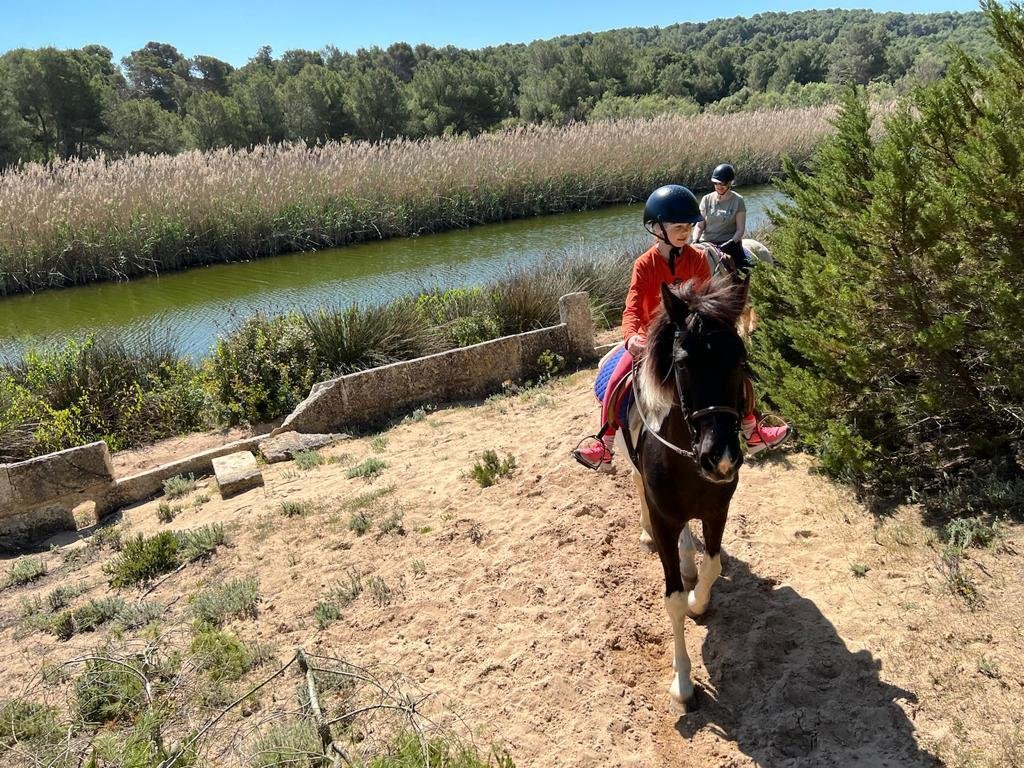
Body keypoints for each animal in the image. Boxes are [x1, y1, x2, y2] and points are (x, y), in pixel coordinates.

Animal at [615, 274, 749, 712]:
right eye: (684, 364)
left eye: (740, 360)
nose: (720, 458)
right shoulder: (664, 519)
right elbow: (671, 599)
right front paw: (683, 682)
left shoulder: (717, 510)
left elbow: (713, 566)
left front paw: (698, 601)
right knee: (637, 488)